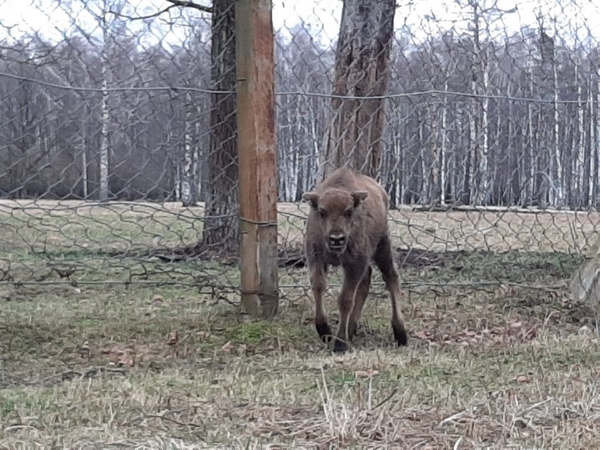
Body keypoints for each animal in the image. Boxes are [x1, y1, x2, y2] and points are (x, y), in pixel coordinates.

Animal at [304, 166, 408, 352]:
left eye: (349, 211)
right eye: (322, 212)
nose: (336, 239)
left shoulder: (355, 263)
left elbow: (345, 299)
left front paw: (339, 343)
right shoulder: (316, 258)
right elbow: (318, 287)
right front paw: (324, 331)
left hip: (382, 245)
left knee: (391, 277)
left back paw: (400, 333)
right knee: (366, 282)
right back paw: (351, 330)